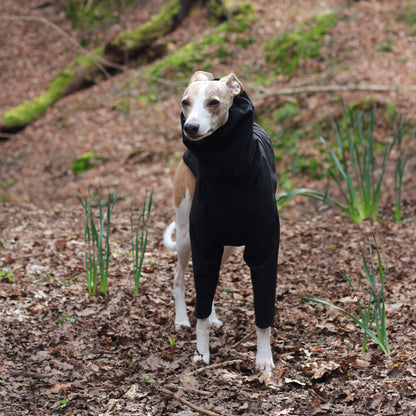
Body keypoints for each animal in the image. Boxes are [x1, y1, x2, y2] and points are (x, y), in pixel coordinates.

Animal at [163, 70, 280, 370]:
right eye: (185, 102)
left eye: (214, 102)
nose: (190, 128)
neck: (228, 173)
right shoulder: (203, 242)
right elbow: (200, 315)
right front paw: (201, 353)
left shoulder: (264, 249)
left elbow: (263, 317)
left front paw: (264, 358)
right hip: (186, 236)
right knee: (179, 277)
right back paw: (181, 319)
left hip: (227, 247)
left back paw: (214, 316)